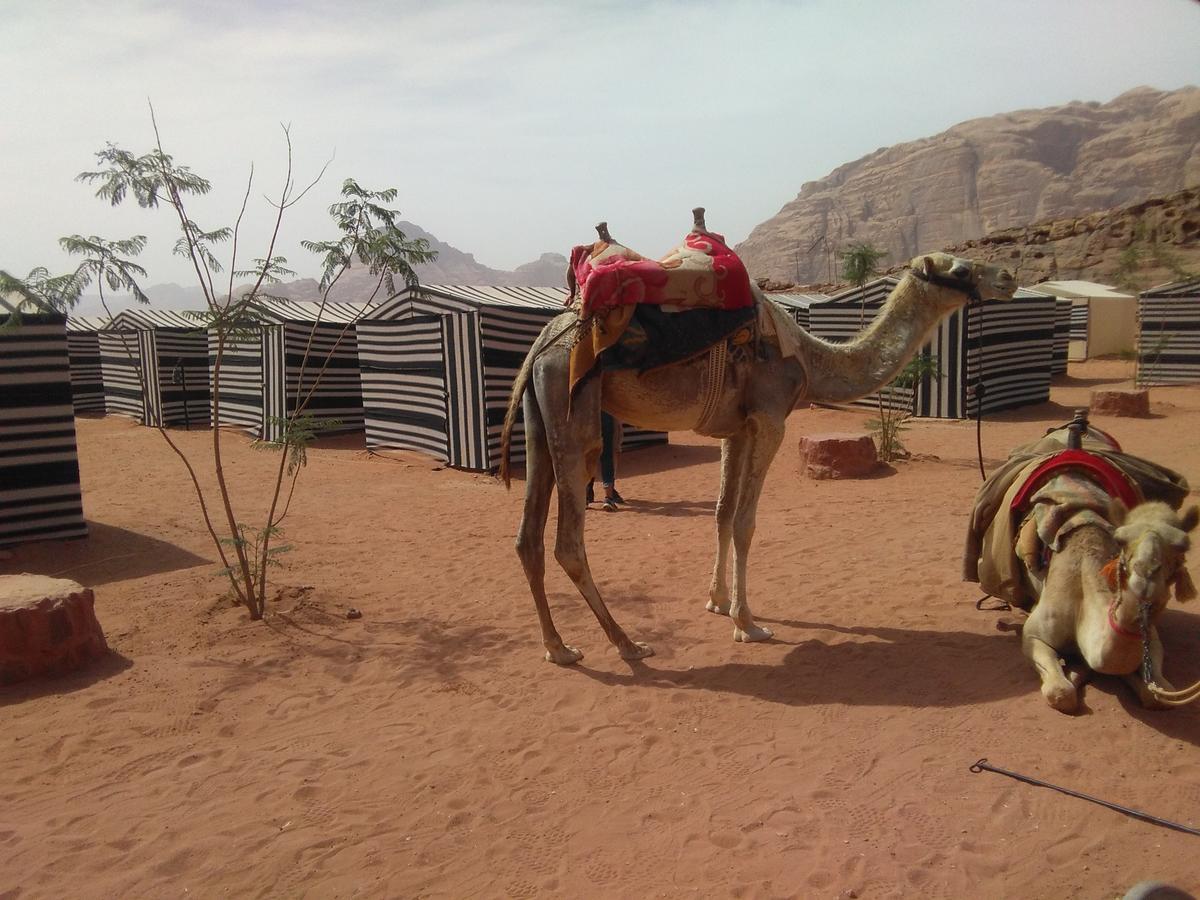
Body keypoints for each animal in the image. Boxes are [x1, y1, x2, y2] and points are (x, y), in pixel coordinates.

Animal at [494, 229, 1012, 667]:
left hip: (540, 416)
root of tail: (542, 345)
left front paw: (718, 602)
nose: (1007, 277)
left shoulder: (736, 429)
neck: (810, 357)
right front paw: (749, 623)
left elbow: (722, 514)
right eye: (959, 269)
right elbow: (745, 522)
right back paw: (628, 644)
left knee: (526, 538)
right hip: (573, 412)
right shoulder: (770, 420)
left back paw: (559, 648)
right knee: (568, 542)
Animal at [1017, 487, 1195, 710]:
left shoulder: (1152, 639)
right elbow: (1061, 692)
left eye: (1183, 546)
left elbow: (1157, 692)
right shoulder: (1033, 635)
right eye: (1120, 540)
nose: (1146, 573)